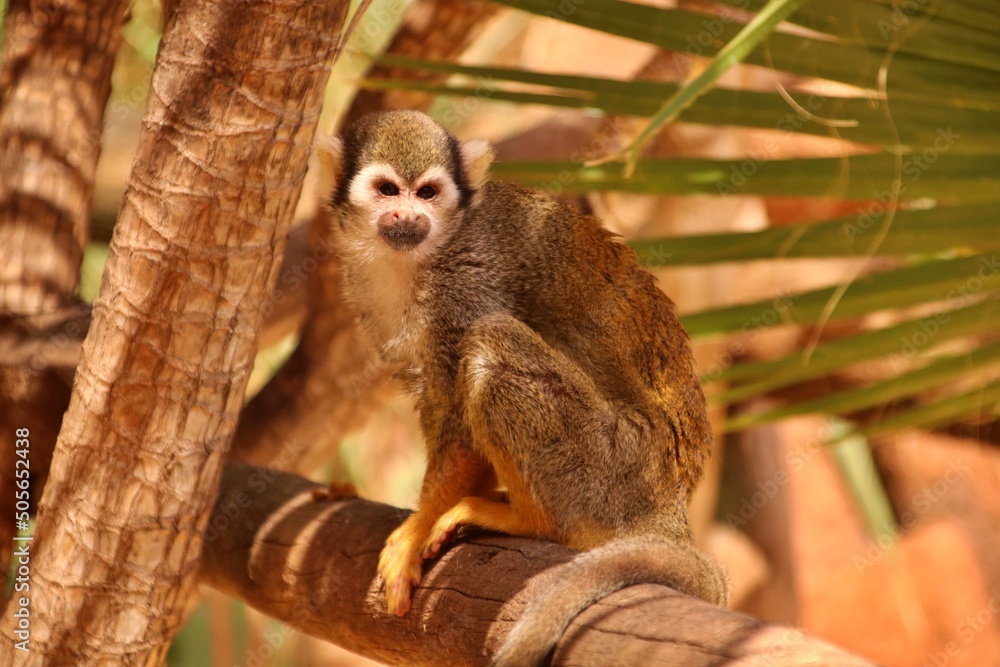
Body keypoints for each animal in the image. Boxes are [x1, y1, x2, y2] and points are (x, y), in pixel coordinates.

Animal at [315, 109, 730, 666]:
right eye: (387, 190)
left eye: (427, 193)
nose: (407, 216)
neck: (425, 255)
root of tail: (671, 506)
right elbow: (433, 396)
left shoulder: (468, 279)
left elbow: (461, 424)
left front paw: (421, 523)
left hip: (615, 467)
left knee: (491, 341)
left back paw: (531, 522)